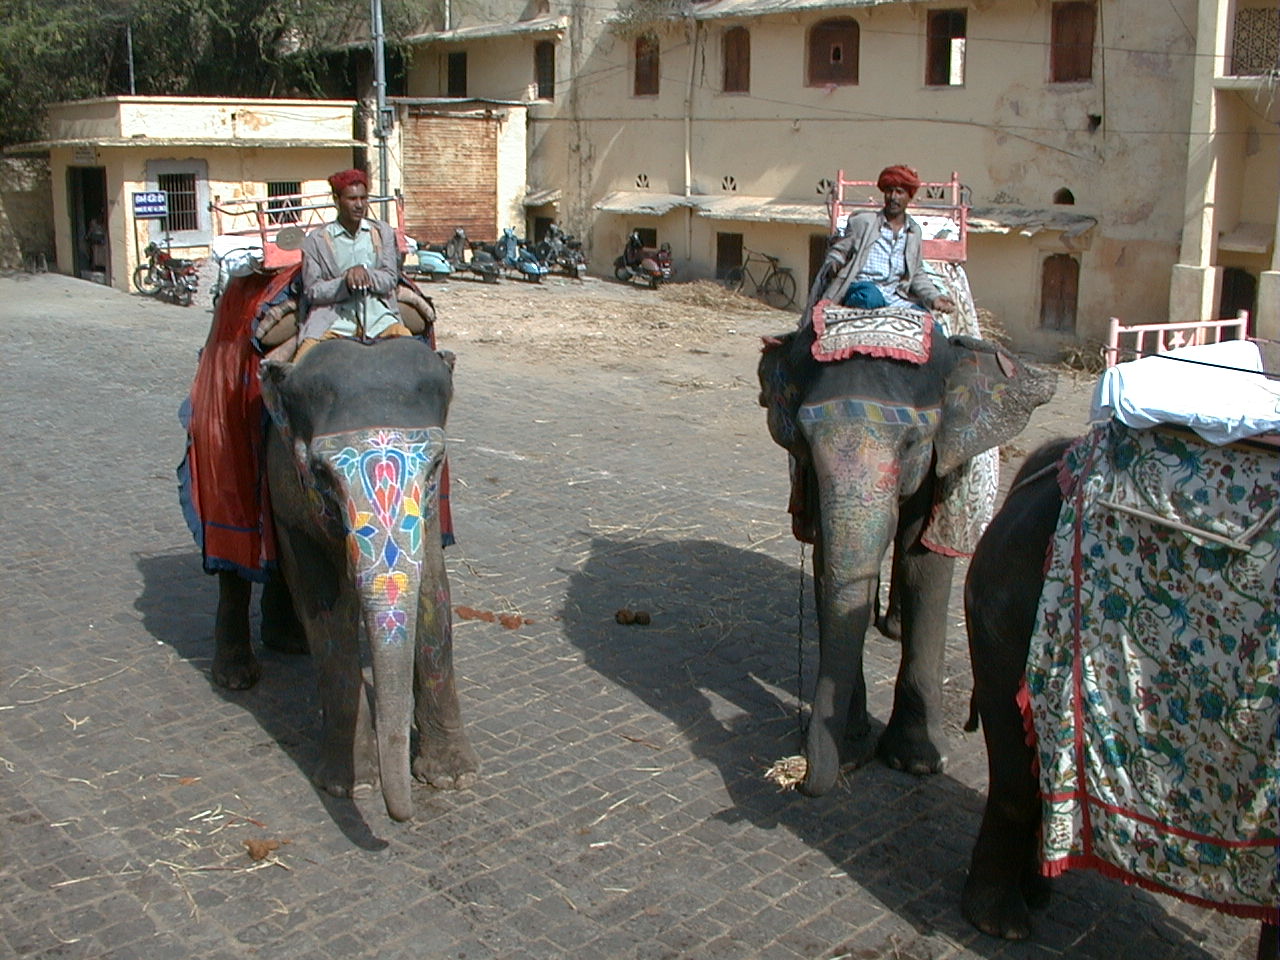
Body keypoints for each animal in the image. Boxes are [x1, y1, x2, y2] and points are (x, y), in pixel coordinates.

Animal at [217, 335, 478, 824]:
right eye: (321, 472)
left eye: (437, 463)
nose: (401, 817)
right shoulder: (286, 475)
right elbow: (325, 603)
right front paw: (351, 785)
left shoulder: (427, 508)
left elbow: (433, 588)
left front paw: (453, 777)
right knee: (233, 560)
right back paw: (236, 676)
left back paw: (288, 642)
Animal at [752, 325, 1054, 798]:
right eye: (802, 437)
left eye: (913, 441)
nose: (799, 778)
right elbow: (828, 559)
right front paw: (852, 750)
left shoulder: (940, 457)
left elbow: (921, 561)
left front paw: (916, 761)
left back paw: (892, 627)